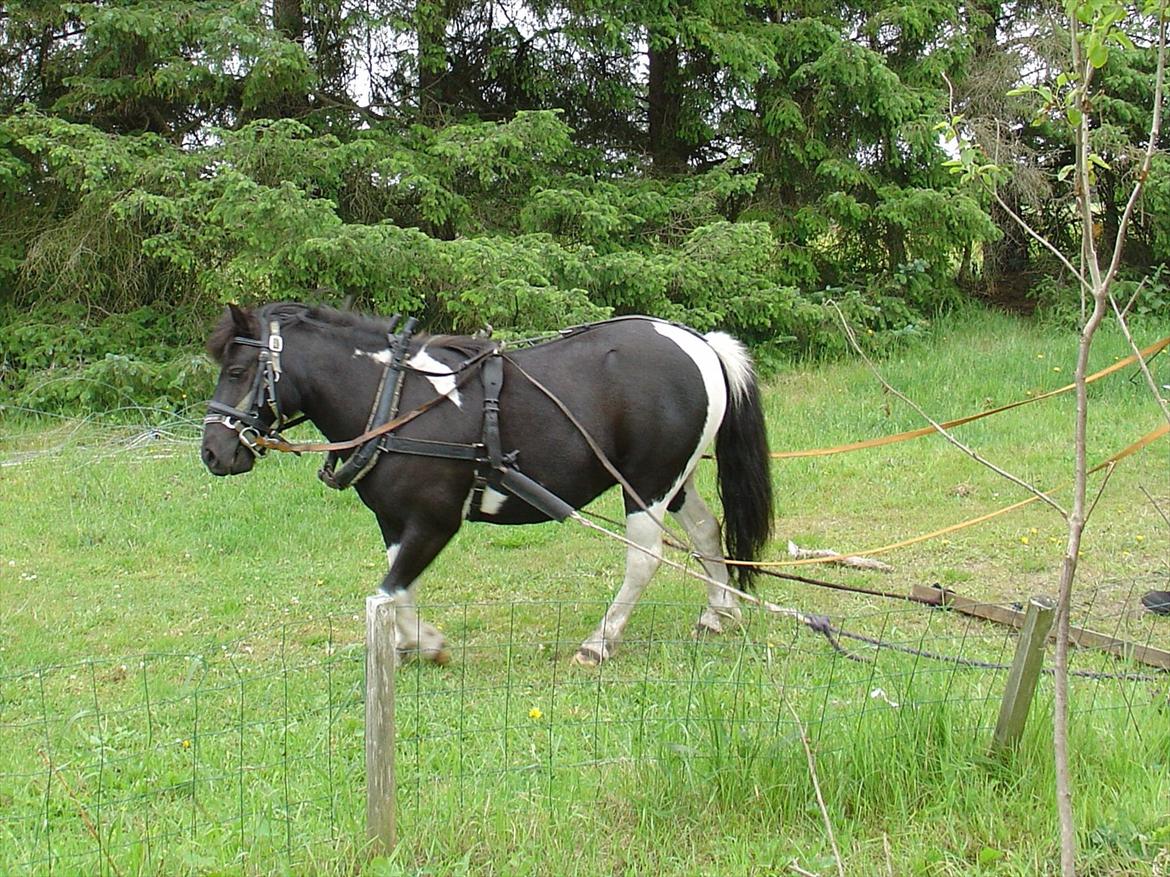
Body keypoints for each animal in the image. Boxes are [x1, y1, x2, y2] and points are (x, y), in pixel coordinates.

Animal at [198, 304, 776, 664]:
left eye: (239, 369)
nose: (212, 452)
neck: (395, 399)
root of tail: (700, 343)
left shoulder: (435, 520)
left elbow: (389, 588)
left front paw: (426, 643)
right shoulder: (395, 522)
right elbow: (399, 585)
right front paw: (407, 645)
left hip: (647, 483)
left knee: (645, 558)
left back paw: (601, 641)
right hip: (674, 479)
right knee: (706, 531)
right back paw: (718, 612)